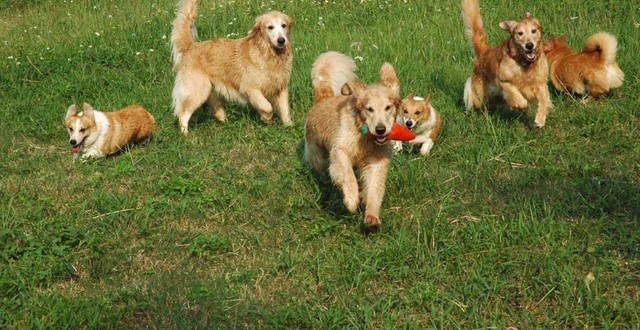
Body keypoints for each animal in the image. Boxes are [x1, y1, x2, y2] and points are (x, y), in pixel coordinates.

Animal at [172, 0, 298, 134]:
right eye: (270, 27)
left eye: (283, 25)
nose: (281, 40)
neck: (268, 53)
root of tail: (191, 46)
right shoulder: (250, 88)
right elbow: (267, 106)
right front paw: (266, 118)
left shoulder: (281, 87)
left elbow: (285, 109)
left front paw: (289, 126)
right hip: (197, 90)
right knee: (183, 114)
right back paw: (185, 134)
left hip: (213, 91)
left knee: (217, 110)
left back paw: (226, 123)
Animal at [304, 51, 400, 231]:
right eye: (369, 109)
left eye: (388, 107)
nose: (380, 129)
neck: (365, 138)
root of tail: (323, 98)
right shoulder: (340, 151)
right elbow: (348, 175)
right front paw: (351, 200)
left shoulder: (376, 162)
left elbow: (374, 188)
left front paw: (371, 216)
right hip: (318, 155)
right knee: (322, 170)